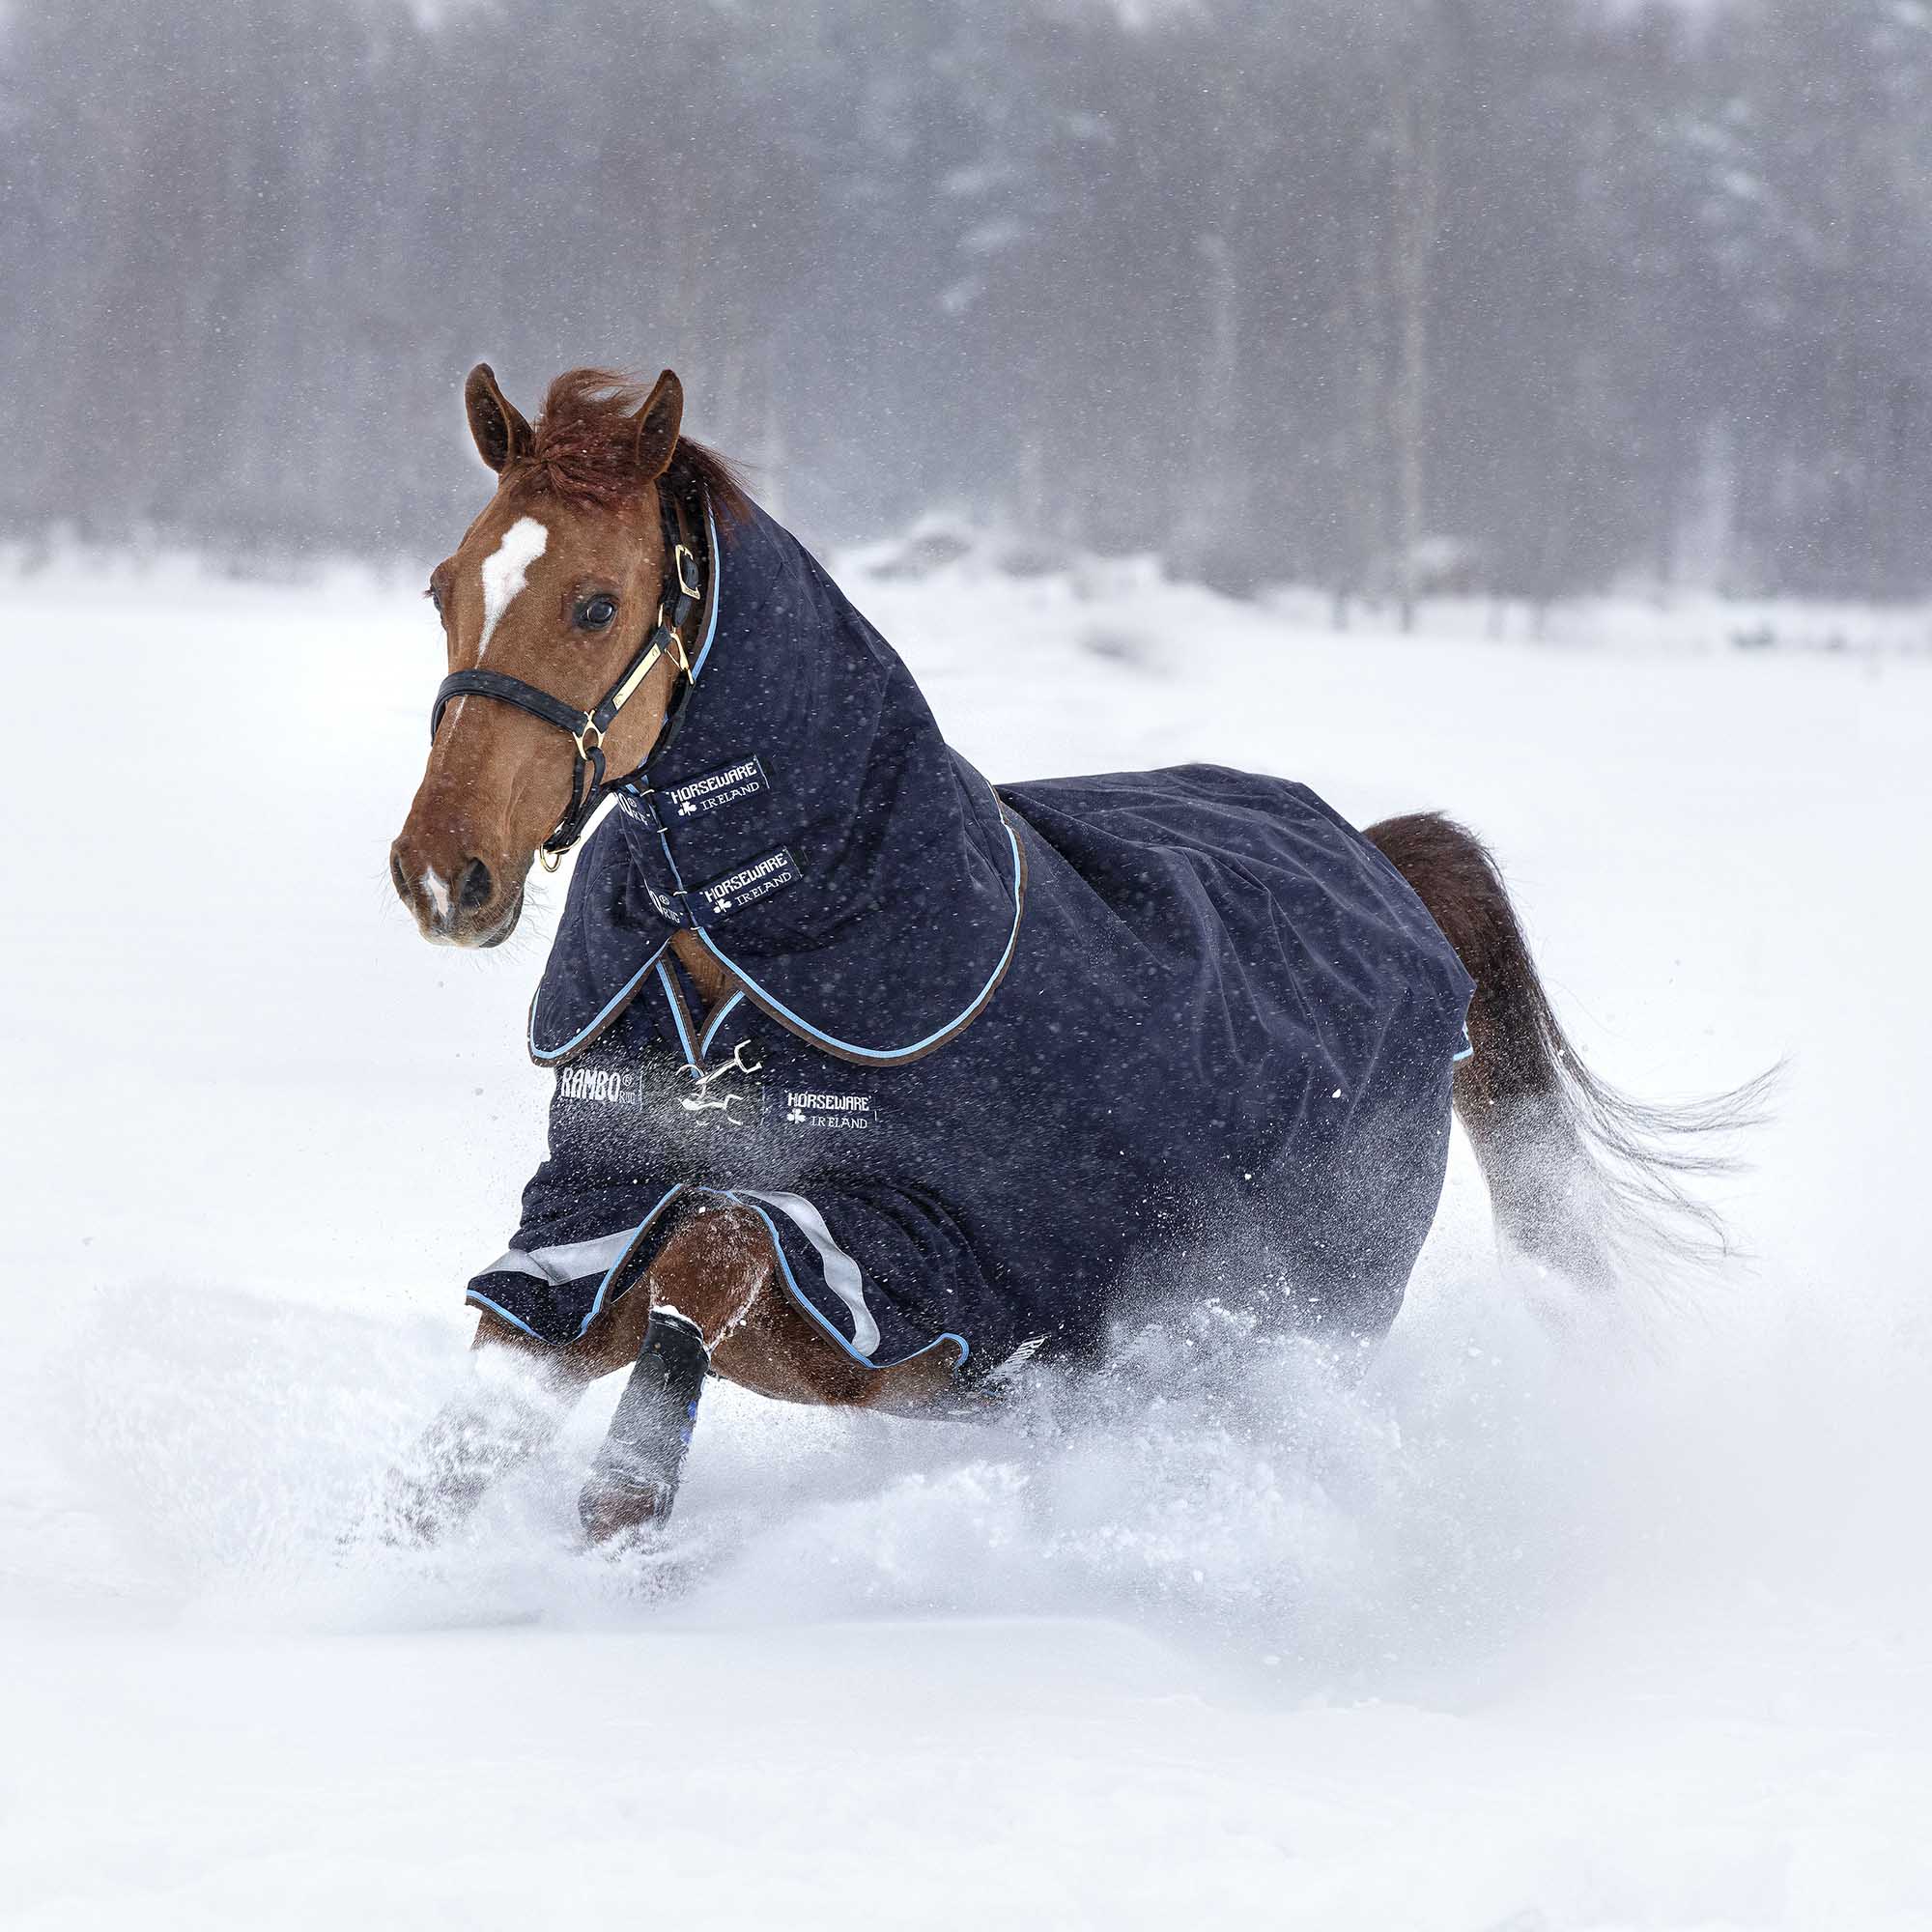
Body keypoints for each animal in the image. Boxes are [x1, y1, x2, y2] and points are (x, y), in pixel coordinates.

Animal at [384, 363, 1749, 1548]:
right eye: (445, 588)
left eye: (595, 603)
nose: (443, 871)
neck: (756, 956)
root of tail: (1380, 855)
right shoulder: (581, 1224)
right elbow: (471, 1424)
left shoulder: (912, 1281)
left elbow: (713, 1246)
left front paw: (625, 1512)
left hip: (1293, 1318)